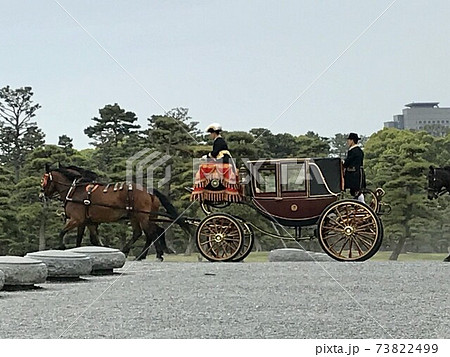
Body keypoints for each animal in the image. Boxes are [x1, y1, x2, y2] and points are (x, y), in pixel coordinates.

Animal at [40, 163, 185, 258]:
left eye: (44, 180)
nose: (41, 196)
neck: (75, 190)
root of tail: (147, 189)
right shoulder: (88, 222)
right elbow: (90, 240)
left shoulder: (77, 219)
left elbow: (62, 232)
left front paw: (62, 246)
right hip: (138, 216)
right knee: (142, 232)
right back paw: (132, 251)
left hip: (142, 216)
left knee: (151, 233)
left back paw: (156, 254)